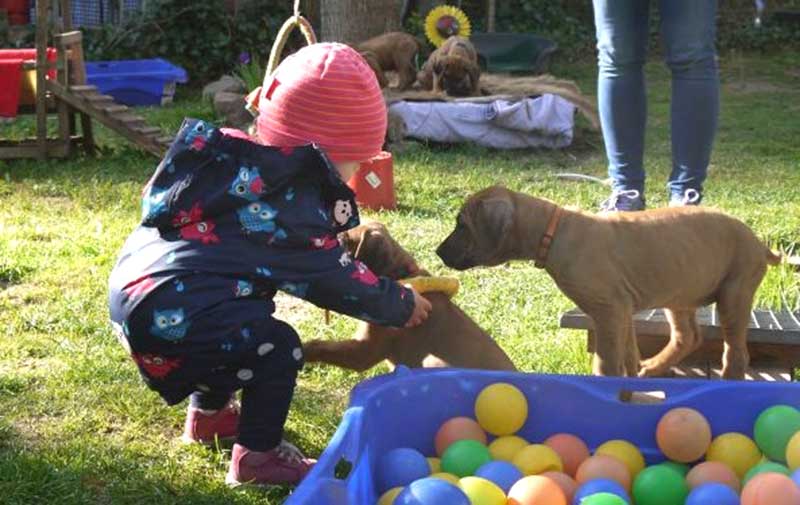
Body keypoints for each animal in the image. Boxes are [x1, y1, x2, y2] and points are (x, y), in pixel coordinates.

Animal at [304, 220, 516, 370]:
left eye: (344, 241)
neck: (400, 274)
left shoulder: (364, 351)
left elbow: (319, 347)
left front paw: (303, 350)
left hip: (434, 361)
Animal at [434, 185, 780, 378]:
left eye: (462, 225)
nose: (437, 252)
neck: (555, 232)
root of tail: (758, 243)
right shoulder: (622, 309)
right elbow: (628, 355)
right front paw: (631, 376)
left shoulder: (608, 311)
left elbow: (607, 362)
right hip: (679, 293)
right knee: (688, 337)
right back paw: (654, 367)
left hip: (734, 293)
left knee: (736, 354)